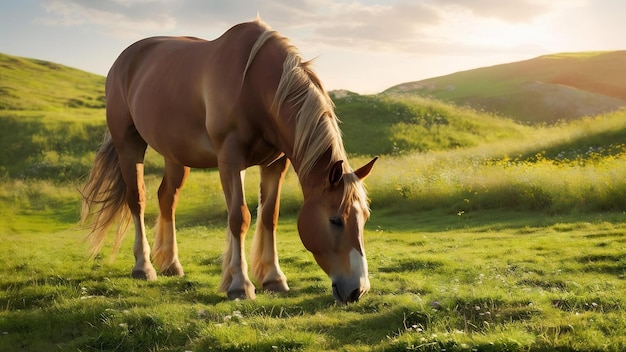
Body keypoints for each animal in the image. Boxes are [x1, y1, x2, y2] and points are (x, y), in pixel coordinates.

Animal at [81, 18, 378, 302]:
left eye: (364, 217)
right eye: (336, 220)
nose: (358, 290)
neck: (255, 86)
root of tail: (123, 60)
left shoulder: (275, 165)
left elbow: (269, 217)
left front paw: (273, 278)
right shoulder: (230, 161)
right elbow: (240, 217)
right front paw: (240, 284)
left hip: (174, 155)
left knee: (167, 198)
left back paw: (171, 264)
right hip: (129, 146)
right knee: (137, 200)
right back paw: (144, 266)